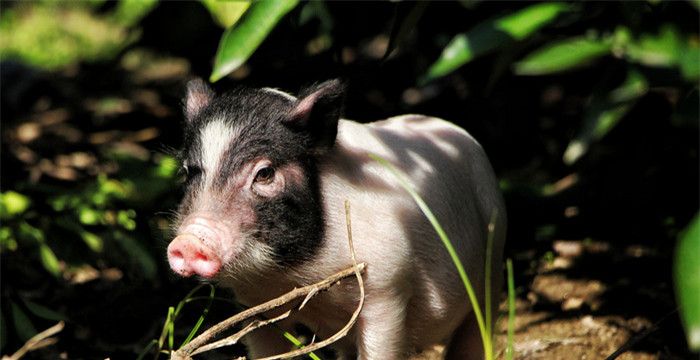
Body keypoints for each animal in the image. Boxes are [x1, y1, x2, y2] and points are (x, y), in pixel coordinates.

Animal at [167, 79, 506, 360]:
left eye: (264, 173)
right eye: (187, 171)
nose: (189, 240)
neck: (294, 277)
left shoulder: (386, 287)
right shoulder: (253, 305)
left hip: (494, 256)